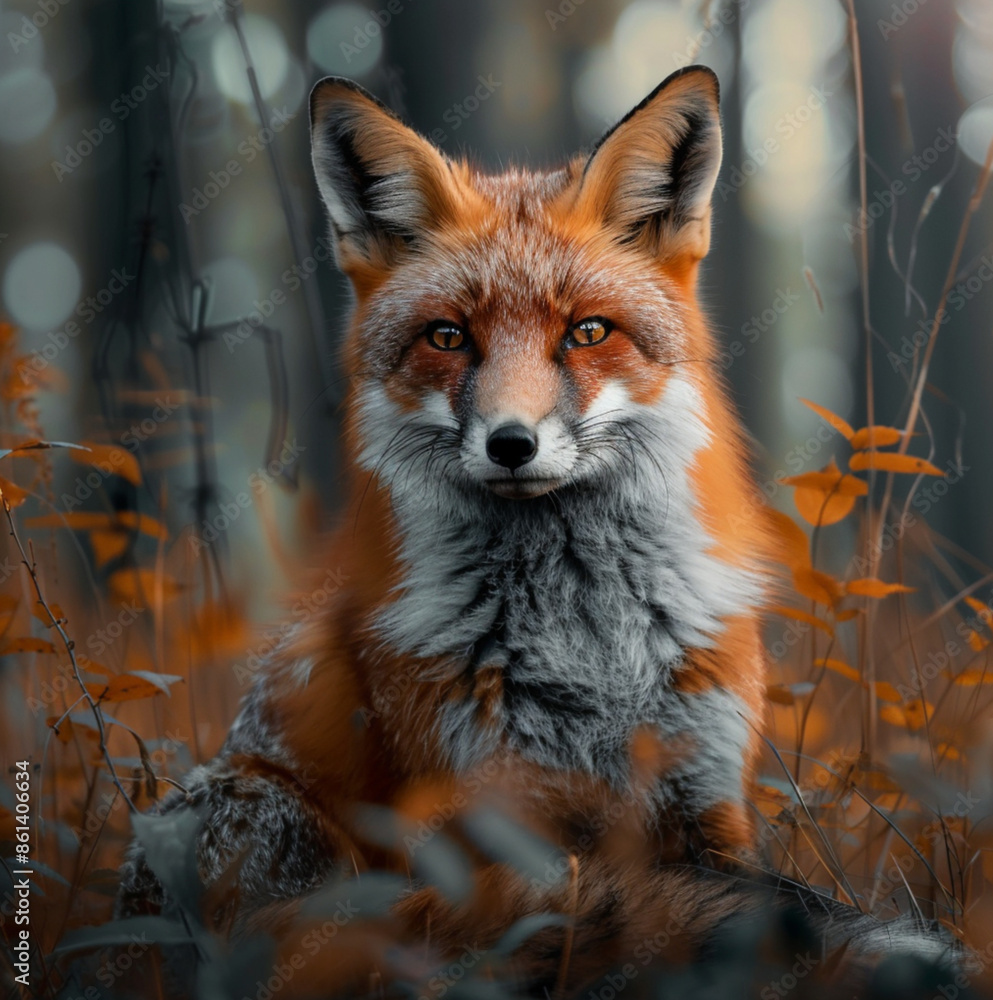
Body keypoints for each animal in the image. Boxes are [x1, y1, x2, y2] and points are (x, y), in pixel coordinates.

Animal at [117, 67, 955, 996]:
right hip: (260, 814)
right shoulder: (484, 823)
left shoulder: (707, 802)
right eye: (448, 337)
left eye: (586, 332)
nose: (511, 443)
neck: (590, 651)